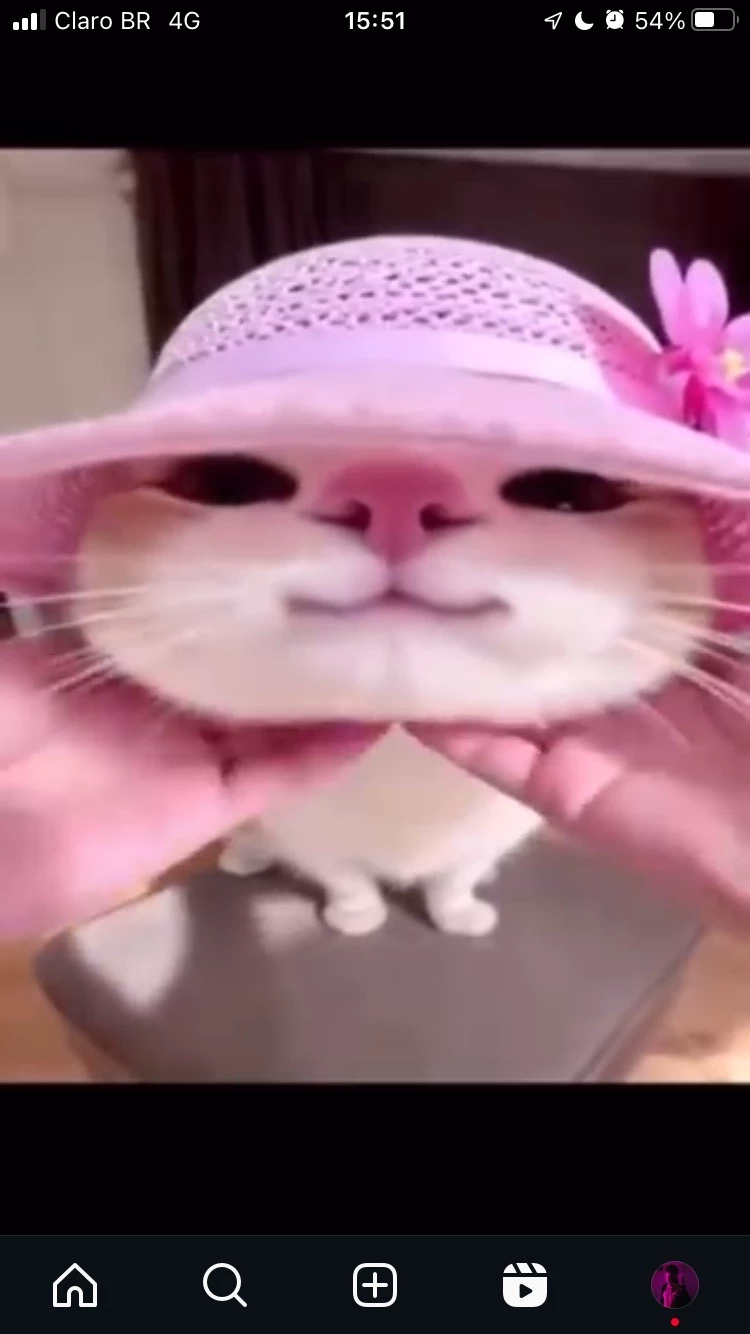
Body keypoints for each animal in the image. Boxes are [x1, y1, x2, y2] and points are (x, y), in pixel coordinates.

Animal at [71, 437, 710, 936]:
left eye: (567, 491)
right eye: (227, 482)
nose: (396, 486)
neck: (402, 777)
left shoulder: (497, 827)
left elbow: (455, 877)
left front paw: (458, 913)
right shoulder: (303, 826)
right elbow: (344, 876)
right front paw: (357, 915)